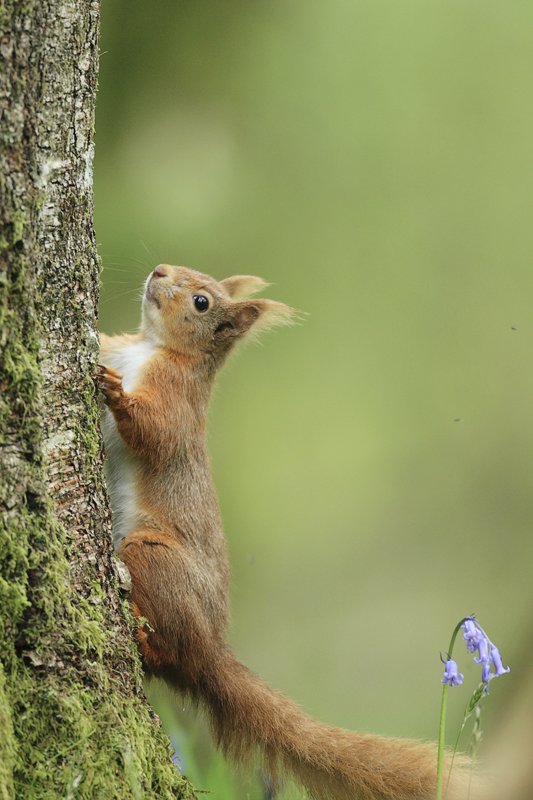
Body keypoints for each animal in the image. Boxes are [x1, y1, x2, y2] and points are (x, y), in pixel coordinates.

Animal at [96, 268, 470, 800]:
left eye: (201, 301)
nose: (160, 270)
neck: (151, 347)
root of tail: (211, 650)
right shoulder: (122, 349)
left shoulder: (176, 401)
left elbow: (156, 432)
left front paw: (117, 395)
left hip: (153, 557)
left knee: (169, 646)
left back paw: (144, 638)